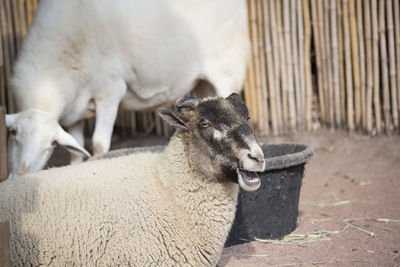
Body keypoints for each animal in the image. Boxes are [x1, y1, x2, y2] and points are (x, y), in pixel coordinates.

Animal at [5, 0, 250, 179]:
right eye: (14, 134)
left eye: (51, 144)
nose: (21, 177)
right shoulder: (76, 110)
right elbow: (75, 154)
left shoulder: (109, 91)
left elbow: (98, 145)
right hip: (202, 83)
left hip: (227, 70)